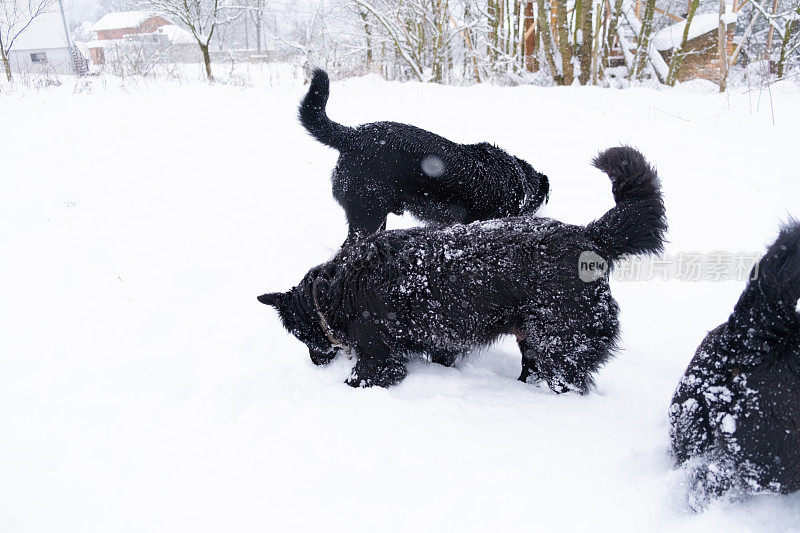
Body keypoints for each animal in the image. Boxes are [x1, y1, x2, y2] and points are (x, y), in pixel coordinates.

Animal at [260, 145, 664, 390]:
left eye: (299, 336)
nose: (314, 363)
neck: (337, 288)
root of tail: (591, 236)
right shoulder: (441, 343)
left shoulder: (378, 358)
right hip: (533, 339)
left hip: (561, 345)